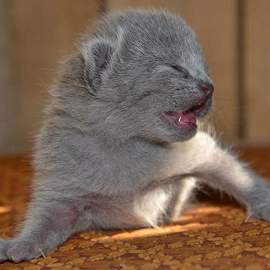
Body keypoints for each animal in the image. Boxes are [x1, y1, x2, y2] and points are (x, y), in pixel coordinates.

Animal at [0, 9, 270, 262]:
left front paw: (265, 202)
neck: (128, 143)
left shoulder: (198, 150)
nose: (210, 86)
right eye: (175, 67)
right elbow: (46, 223)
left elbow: (237, 176)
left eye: (205, 70)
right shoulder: (62, 182)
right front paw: (20, 245)